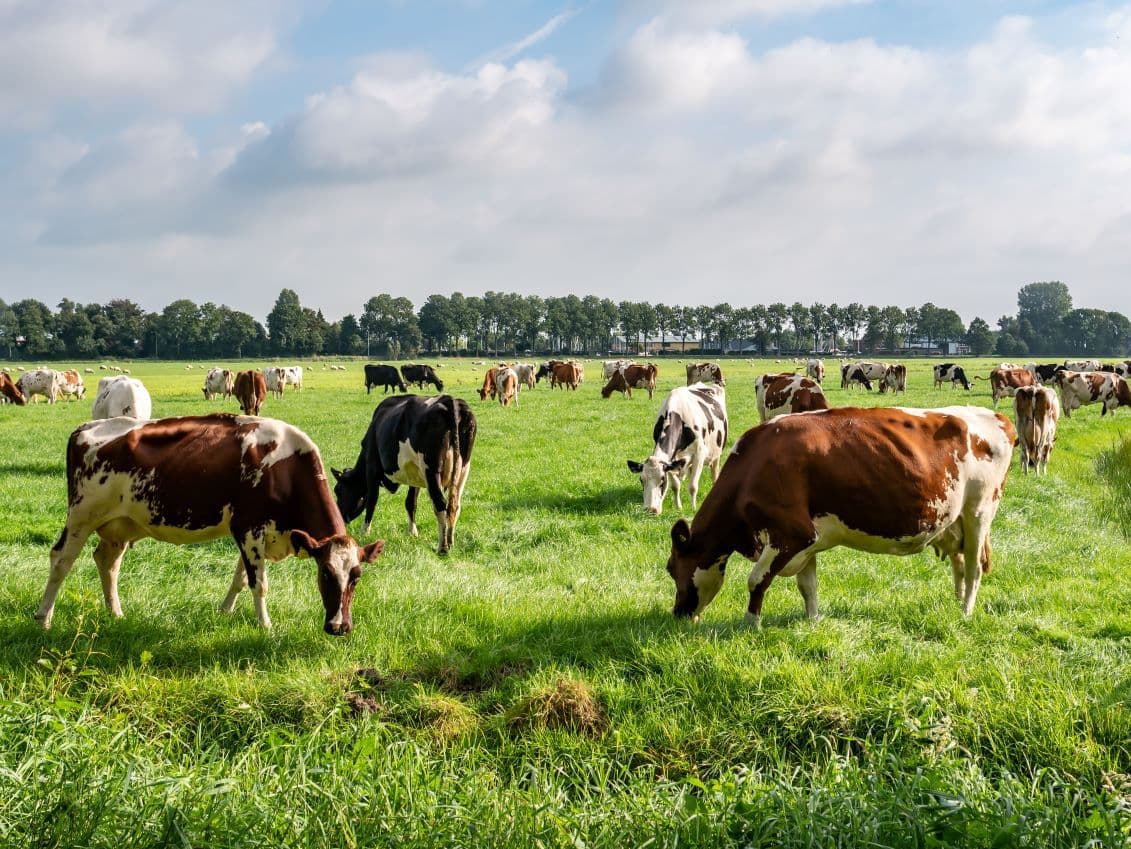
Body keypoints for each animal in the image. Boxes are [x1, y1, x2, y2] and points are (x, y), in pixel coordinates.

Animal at [35, 415, 383, 634]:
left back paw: (116, 614)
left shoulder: (256, 534)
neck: (285, 468)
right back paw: (43, 618)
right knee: (62, 559)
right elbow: (259, 583)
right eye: (325, 573)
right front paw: (265, 626)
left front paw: (225, 611)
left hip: (119, 524)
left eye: (357, 576)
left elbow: (241, 579)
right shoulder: (249, 527)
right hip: (82, 515)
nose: (339, 627)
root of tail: (86, 427)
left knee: (107, 562)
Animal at [332, 394, 476, 555]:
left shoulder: (372, 467)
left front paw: (364, 533)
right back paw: (450, 543)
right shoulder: (415, 475)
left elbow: (371, 501)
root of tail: (450, 400)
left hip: (431, 468)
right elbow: (410, 503)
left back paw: (442, 548)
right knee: (454, 504)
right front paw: (413, 533)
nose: (340, 518)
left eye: (338, 490)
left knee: (440, 503)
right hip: (463, 468)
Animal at [627, 384, 728, 514]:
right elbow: (675, 486)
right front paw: (678, 506)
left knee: (714, 472)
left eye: (662, 481)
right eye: (641, 480)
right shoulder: (671, 461)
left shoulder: (699, 454)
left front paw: (693, 508)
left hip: (716, 452)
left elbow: (693, 486)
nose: (651, 510)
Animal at [665, 406, 1015, 627]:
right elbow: (808, 586)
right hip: (953, 521)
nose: (677, 614)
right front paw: (813, 620)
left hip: (979, 511)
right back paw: (956, 604)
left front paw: (751, 624)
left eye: (670, 568)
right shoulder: (807, 542)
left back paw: (966, 611)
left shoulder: (792, 534)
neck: (754, 466)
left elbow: (756, 581)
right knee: (959, 564)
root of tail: (996, 416)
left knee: (973, 567)